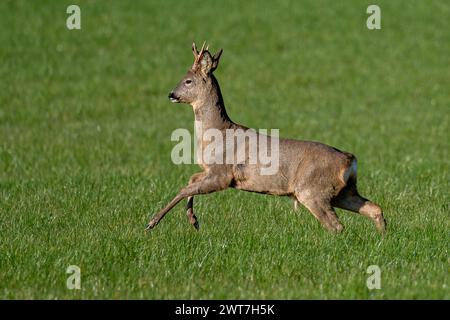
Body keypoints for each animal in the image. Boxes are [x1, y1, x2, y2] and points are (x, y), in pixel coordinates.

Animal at [146, 42, 384, 232]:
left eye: (187, 81)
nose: (171, 94)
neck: (217, 132)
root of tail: (349, 159)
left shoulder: (223, 174)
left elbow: (184, 188)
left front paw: (152, 222)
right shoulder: (210, 171)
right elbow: (190, 180)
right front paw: (193, 221)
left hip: (312, 190)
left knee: (336, 225)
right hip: (343, 191)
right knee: (374, 208)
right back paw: (382, 240)